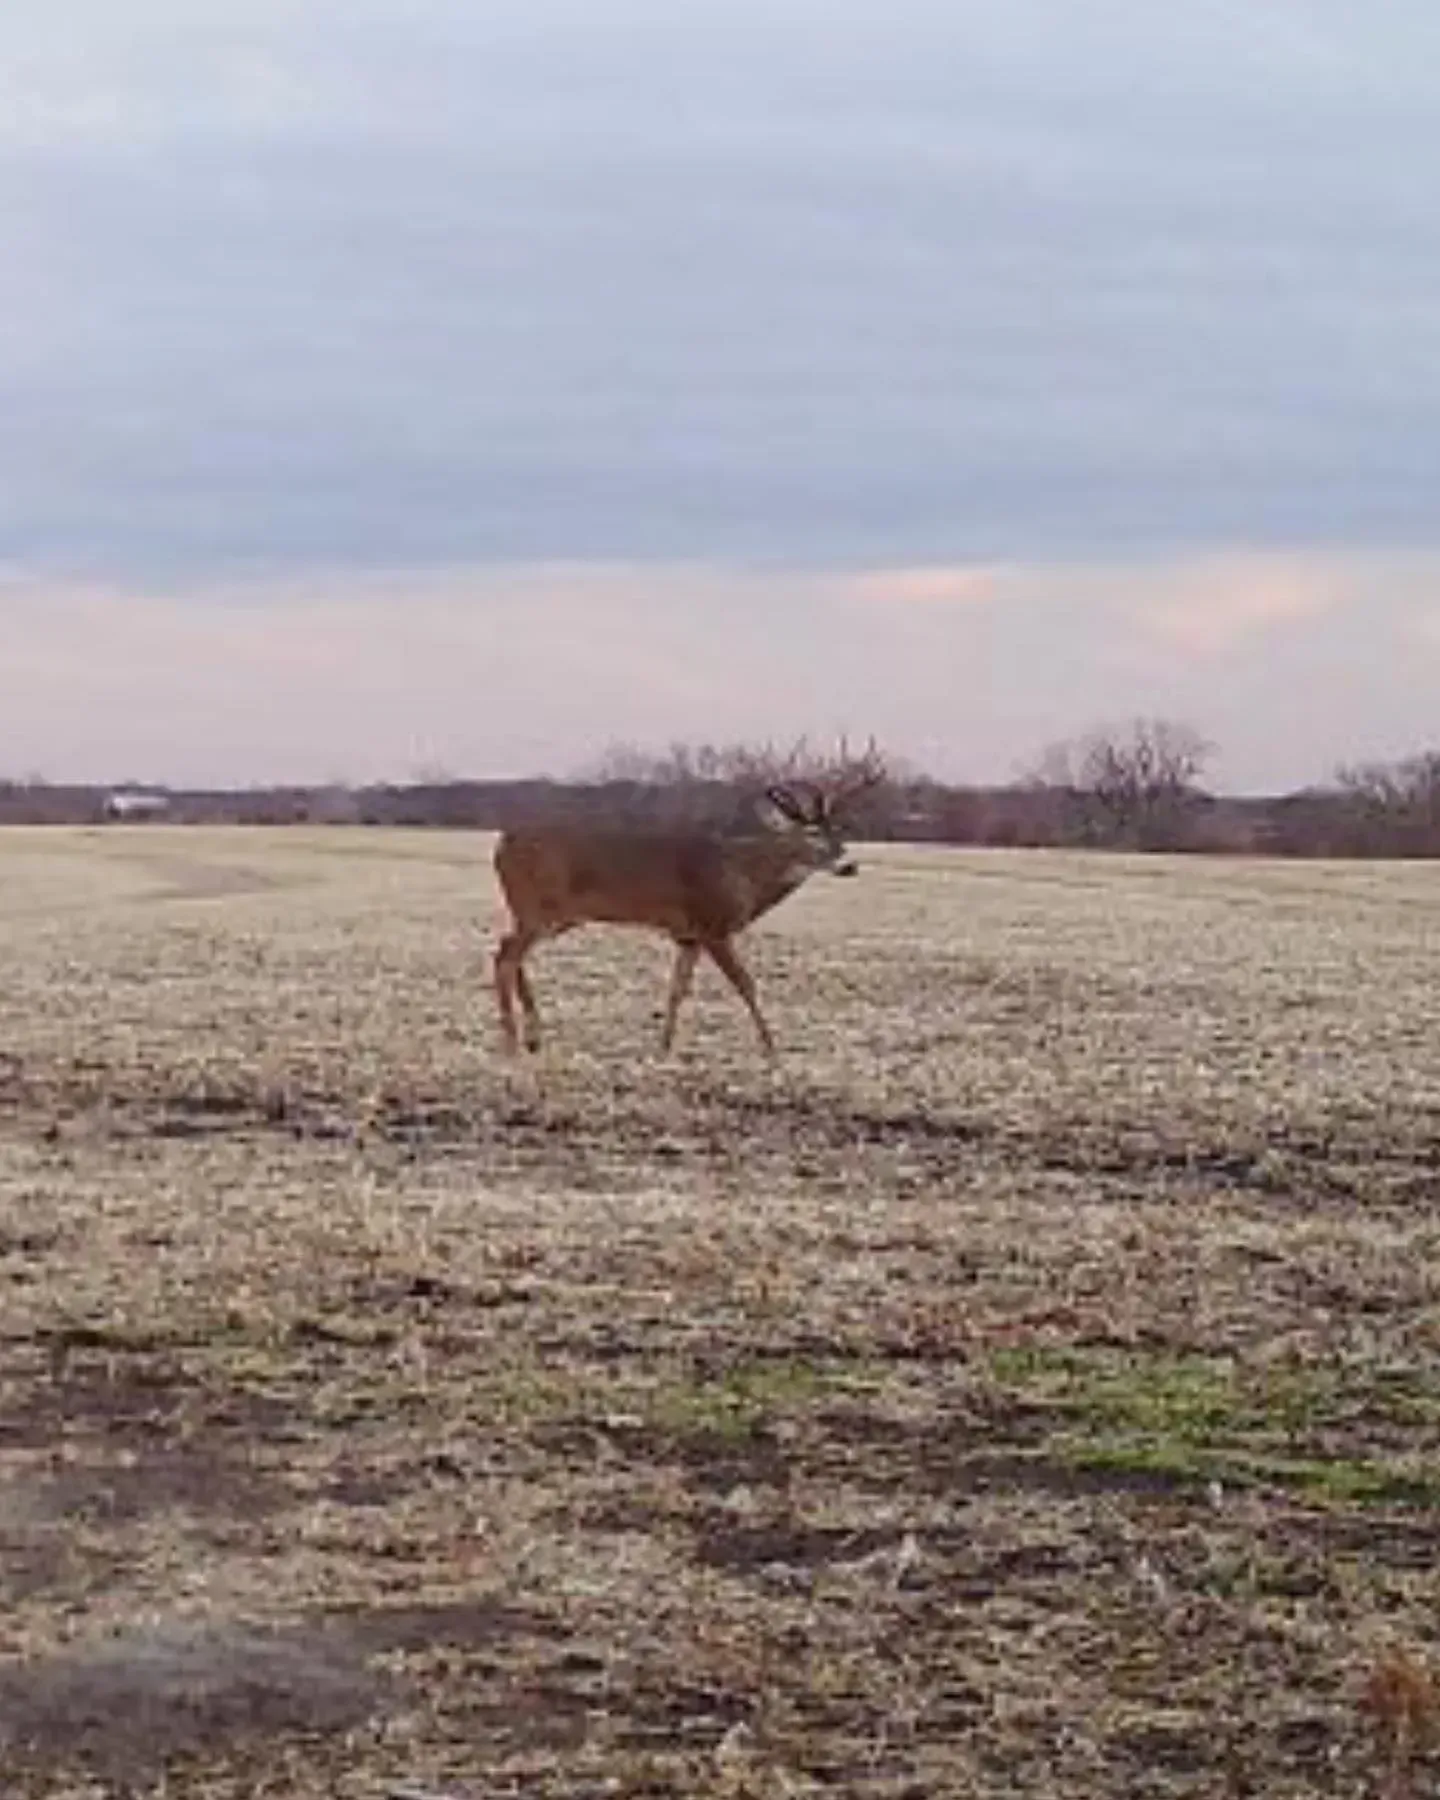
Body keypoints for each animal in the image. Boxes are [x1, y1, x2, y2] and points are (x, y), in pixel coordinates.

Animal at [492, 748, 884, 1056]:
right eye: (813, 833)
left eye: (840, 832)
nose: (850, 865)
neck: (743, 874)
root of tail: (502, 844)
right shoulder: (713, 925)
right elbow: (746, 984)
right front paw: (771, 1048)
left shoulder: (688, 936)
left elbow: (677, 990)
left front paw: (664, 1046)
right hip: (537, 908)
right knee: (505, 956)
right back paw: (512, 1042)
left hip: (547, 915)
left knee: (511, 951)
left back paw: (533, 1038)